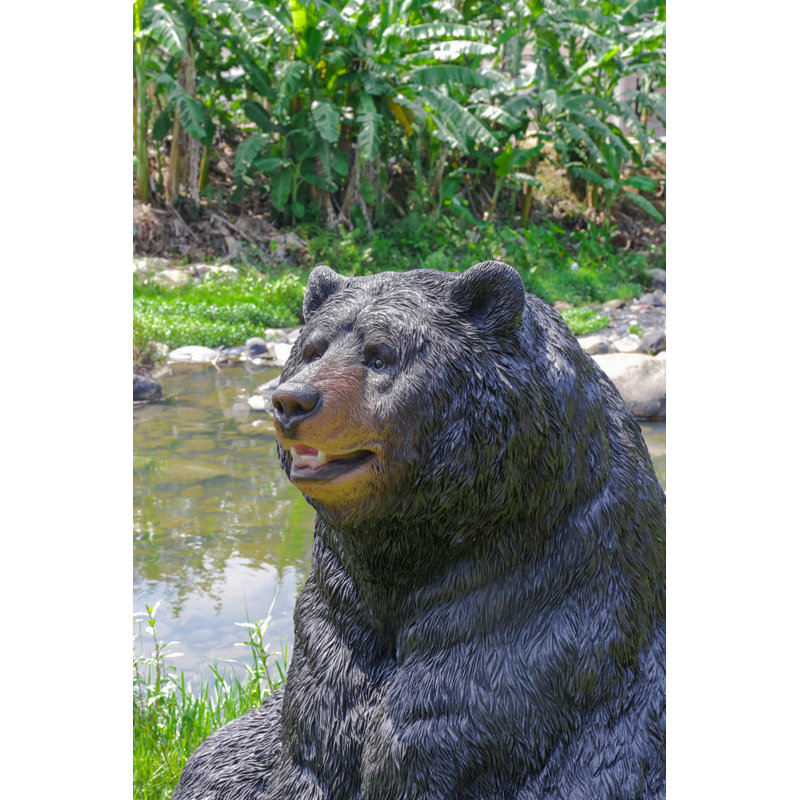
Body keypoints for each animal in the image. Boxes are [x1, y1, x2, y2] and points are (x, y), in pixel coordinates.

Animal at [172, 260, 665, 800]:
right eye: (311, 349)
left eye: (380, 355)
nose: (291, 401)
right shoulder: (341, 606)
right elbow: (312, 726)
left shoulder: (536, 605)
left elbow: (436, 726)